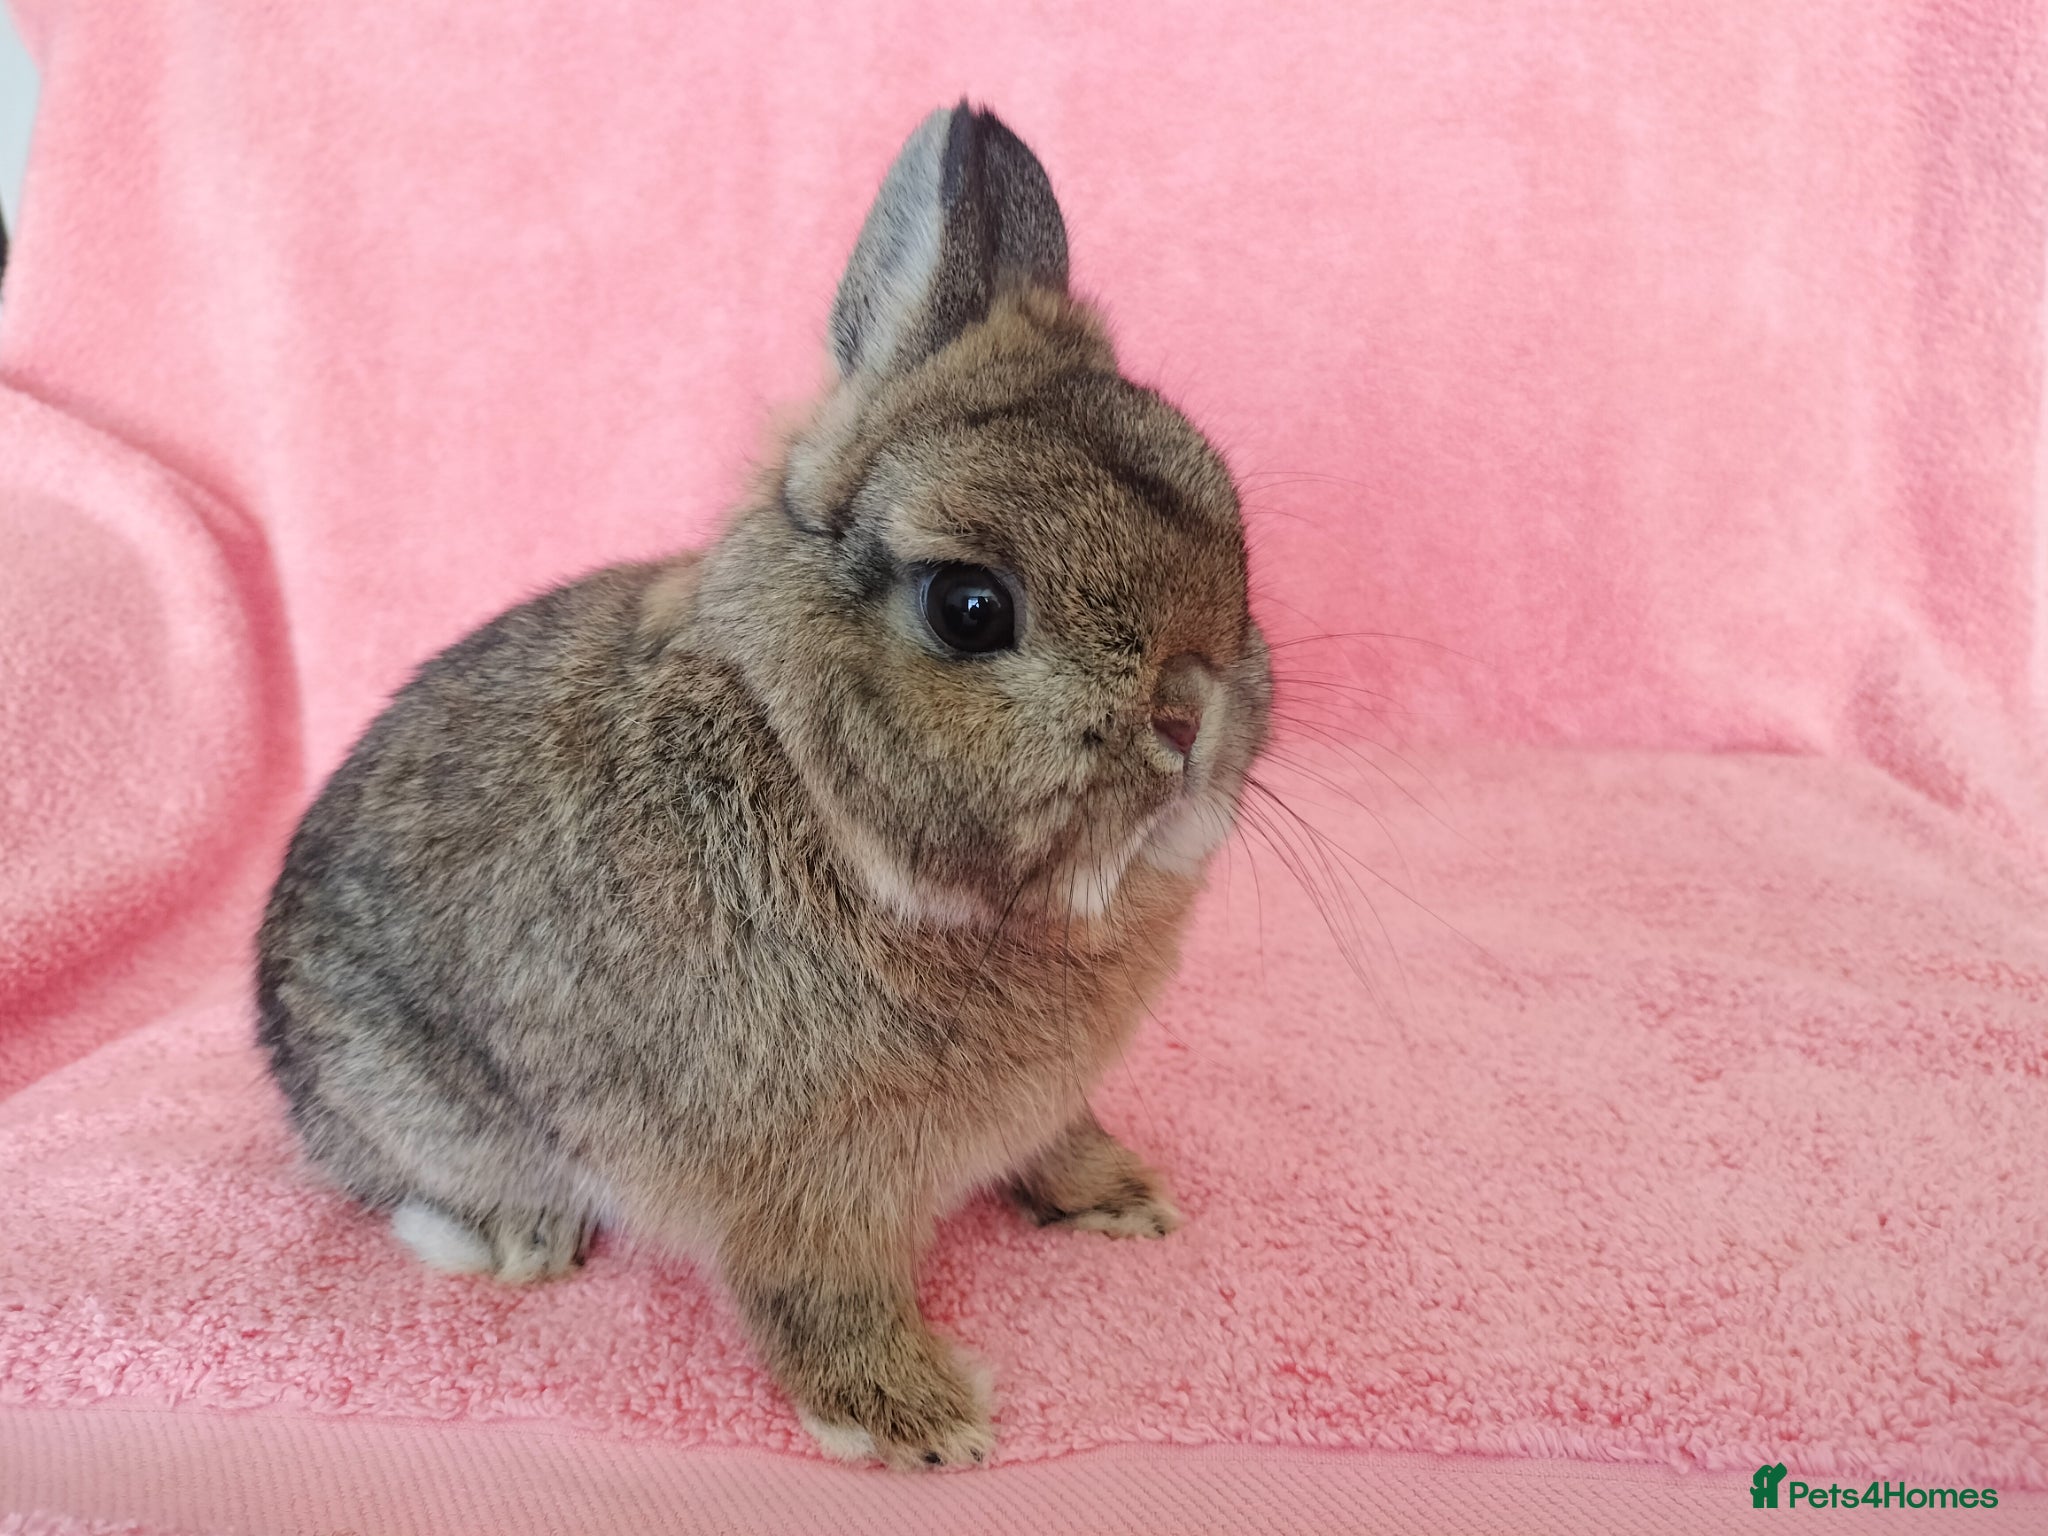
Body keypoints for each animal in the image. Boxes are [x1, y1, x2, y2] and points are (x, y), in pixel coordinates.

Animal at [257, 101, 1271, 1470]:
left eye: (1230, 527)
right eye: (969, 606)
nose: (1188, 717)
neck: (817, 791)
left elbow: (1057, 1142)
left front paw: (1119, 1201)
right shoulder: (801, 1183)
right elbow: (819, 1297)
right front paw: (920, 1422)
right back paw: (520, 1240)